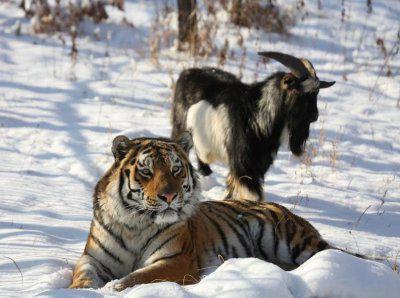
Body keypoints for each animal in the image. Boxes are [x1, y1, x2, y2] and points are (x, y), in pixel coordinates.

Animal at [69, 133, 354, 292]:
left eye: (175, 170)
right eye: (146, 171)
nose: (169, 196)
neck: (135, 223)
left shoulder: (176, 260)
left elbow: (137, 277)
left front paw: (112, 288)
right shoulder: (94, 257)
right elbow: (83, 274)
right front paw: (79, 289)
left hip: (291, 241)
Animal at [170, 51, 336, 201]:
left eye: (316, 92)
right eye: (297, 91)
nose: (315, 115)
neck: (256, 116)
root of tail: (188, 72)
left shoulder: (259, 165)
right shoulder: (242, 163)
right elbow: (252, 194)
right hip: (180, 128)